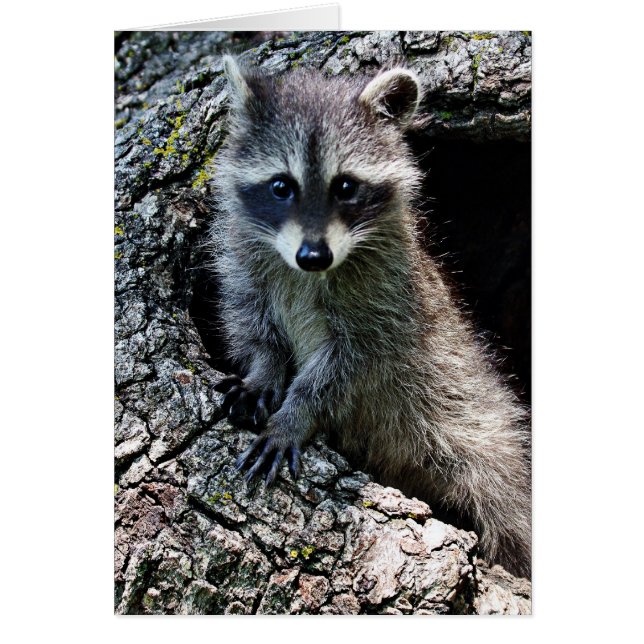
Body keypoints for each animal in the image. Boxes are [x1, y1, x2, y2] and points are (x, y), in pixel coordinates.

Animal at [210, 55, 531, 577]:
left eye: (346, 186)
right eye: (281, 186)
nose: (313, 256)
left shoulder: (386, 299)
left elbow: (350, 366)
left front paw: (297, 410)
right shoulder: (244, 258)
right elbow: (251, 321)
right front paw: (264, 370)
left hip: (479, 423)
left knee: (503, 494)